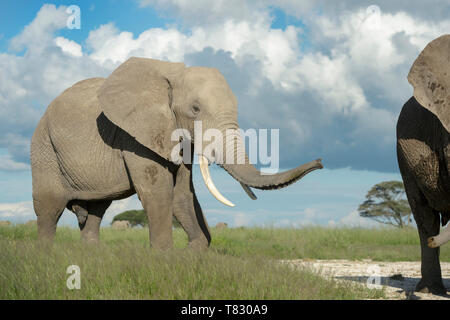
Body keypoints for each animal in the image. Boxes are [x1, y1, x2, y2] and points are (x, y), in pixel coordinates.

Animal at [30, 56, 324, 249]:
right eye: (195, 109)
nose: (321, 161)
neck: (171, 75)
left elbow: (183, 193)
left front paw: (195, 251)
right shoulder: (134, 135)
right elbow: (158, 193)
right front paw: (164, 261)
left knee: (96, 212)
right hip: (44, 148)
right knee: (49, 209)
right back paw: (47, 258)